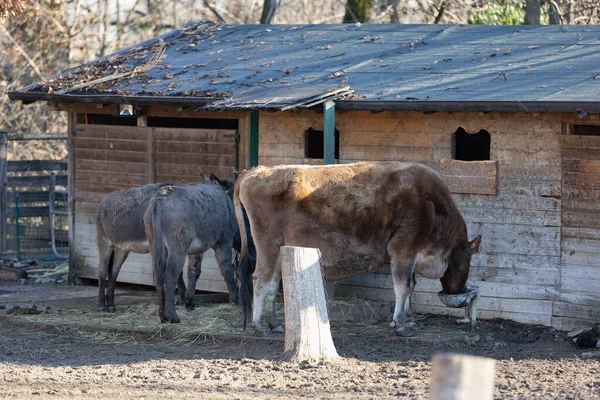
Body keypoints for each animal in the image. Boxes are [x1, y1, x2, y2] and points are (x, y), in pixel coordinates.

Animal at [236, 162, 482, 334]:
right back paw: (259, 325)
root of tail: (257, 171)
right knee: (260, 280)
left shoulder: (410, 255)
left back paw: (275, 324)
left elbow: (411, 286)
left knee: (272, 284)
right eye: (468, 260)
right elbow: (402, 288)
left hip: (280, 250)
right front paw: (400, 323)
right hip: (268, 244)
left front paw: (410, 319)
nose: (459, 289)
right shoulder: (403, 249)